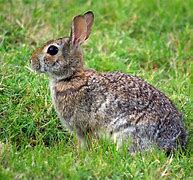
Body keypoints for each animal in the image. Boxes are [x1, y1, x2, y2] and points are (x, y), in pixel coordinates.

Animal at [30, 10, 187, 152]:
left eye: (52, 50)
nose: (31, 61)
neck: (71, 77)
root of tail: (173, 143)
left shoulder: (82, 128)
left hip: (126, 132)